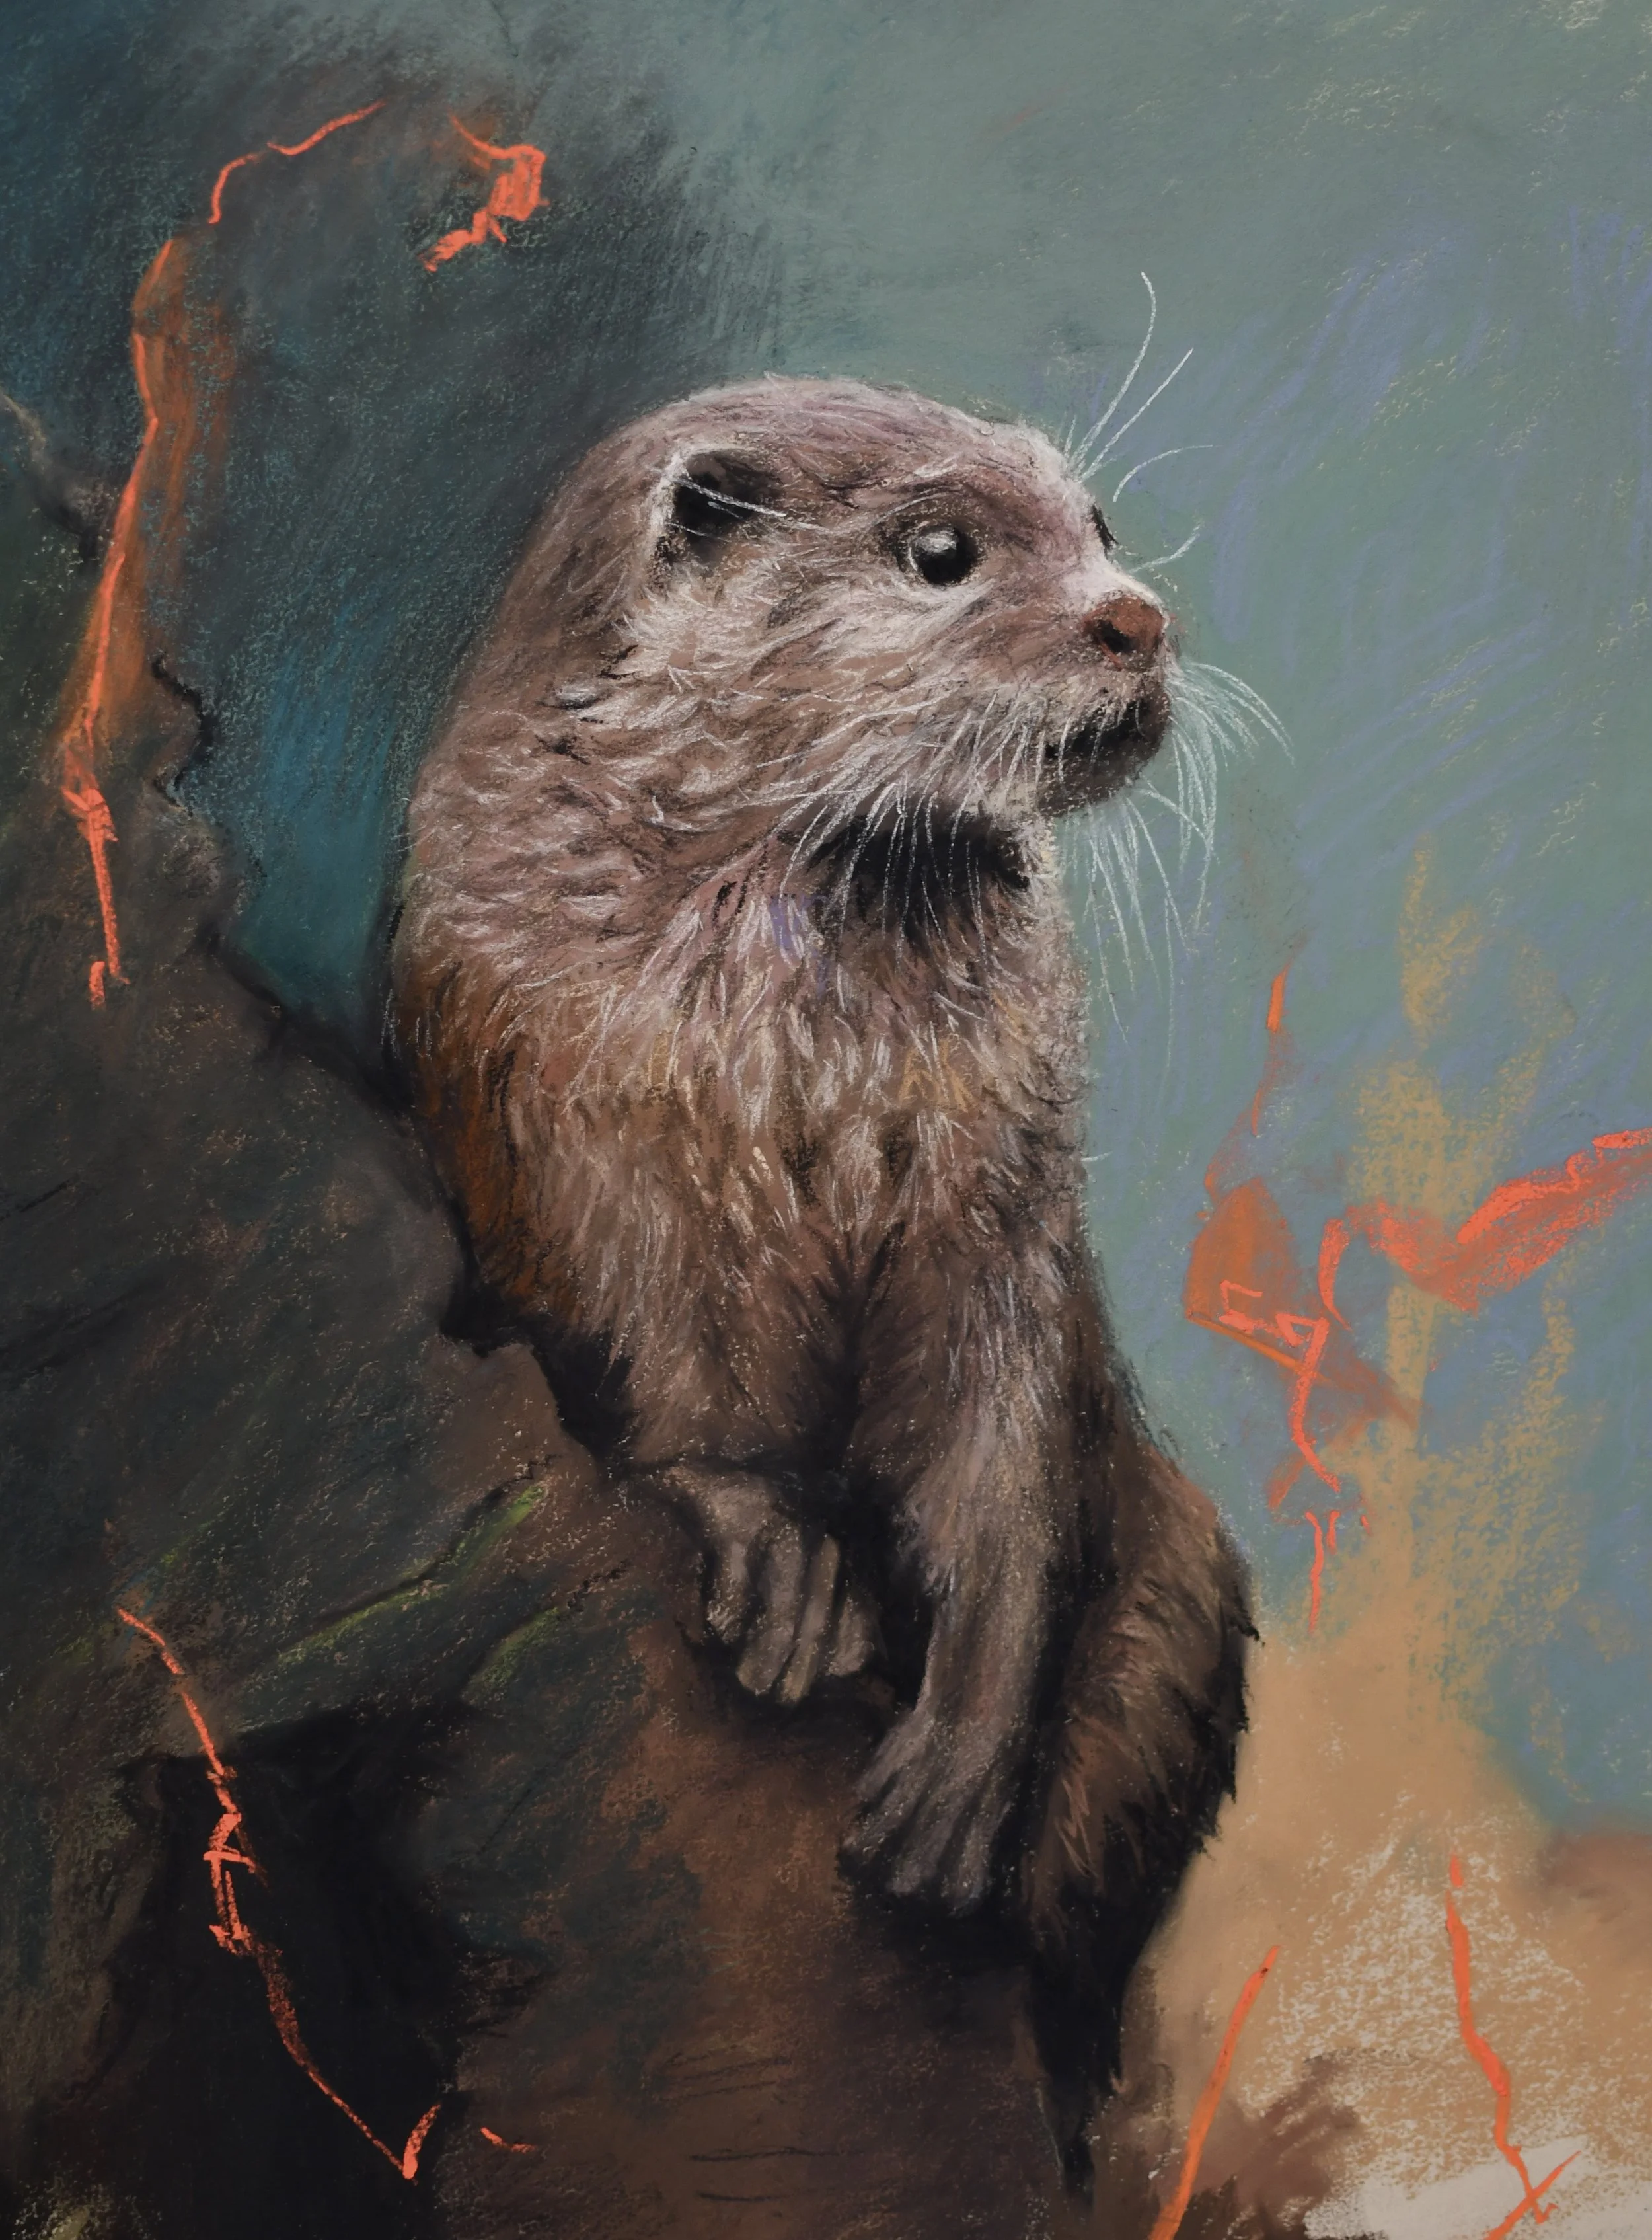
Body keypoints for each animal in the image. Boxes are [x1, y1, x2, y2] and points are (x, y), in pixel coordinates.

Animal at [393, 377, 1251, 2124]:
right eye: (938, 551)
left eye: (1098, 527)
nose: (1134, 616)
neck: (794, 1071)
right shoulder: (565, 1124)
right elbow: (645, 1352)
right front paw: (764, 1536)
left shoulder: (997, 1197)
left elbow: (997, 1450)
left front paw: (965, 1744)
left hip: (1185, 1597)